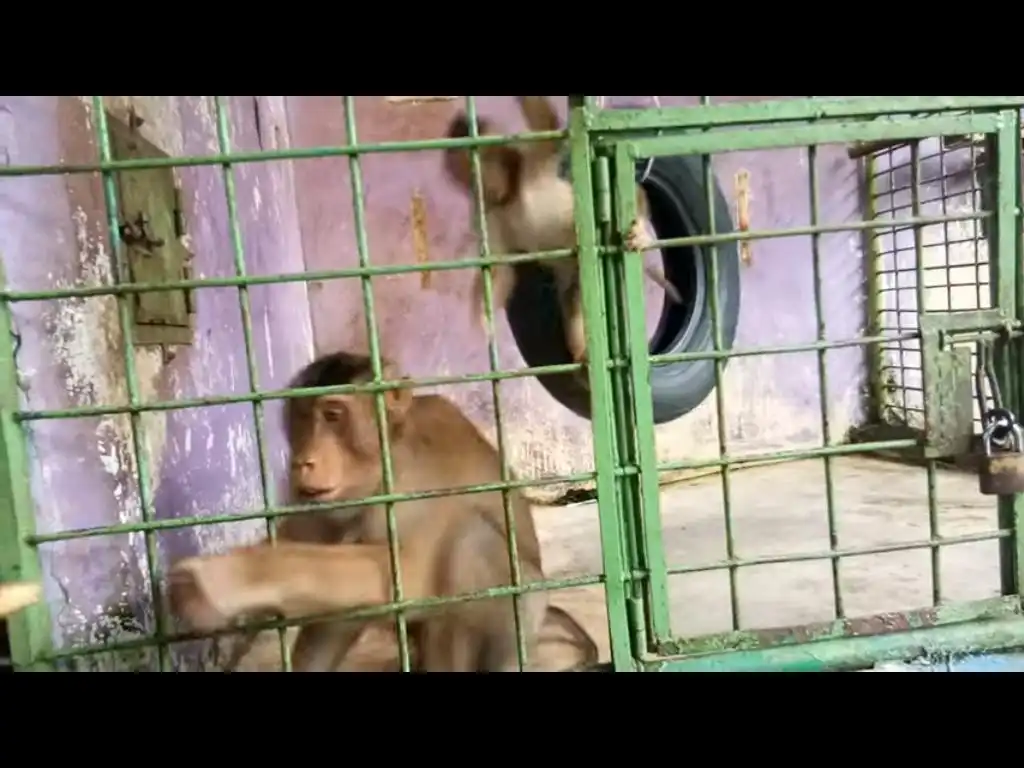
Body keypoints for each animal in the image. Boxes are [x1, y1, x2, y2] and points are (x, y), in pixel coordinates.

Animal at [168, 351, 597, 672]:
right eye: (301, 418)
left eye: (333, 416)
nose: (303, 461)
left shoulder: (415, 479)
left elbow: (412, 573)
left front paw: (226, 578)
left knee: (471, 542)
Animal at [443, 95, 682, 368]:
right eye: (468, 172)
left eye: (482, 163)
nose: (483, 181)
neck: (510, 196)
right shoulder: (487, 216)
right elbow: (501, 270)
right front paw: (485, 320)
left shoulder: (533, 160)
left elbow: (547, 123)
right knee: (573, 296)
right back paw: (582, 351)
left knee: (635, 199)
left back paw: (641, 234)